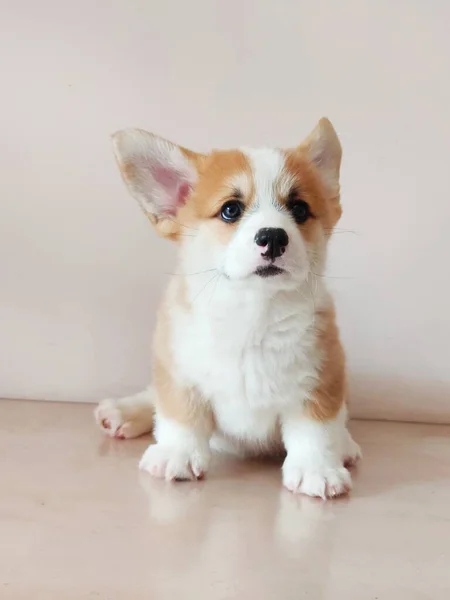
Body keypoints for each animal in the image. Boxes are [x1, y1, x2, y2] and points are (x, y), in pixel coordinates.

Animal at [96, 119, 362, 500]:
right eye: (231, 209)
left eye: (299, 209)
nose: (273, 237)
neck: (252, 314)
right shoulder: (179, 372)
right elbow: (180, 417)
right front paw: (176, 454)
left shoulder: (321, 381)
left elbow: (316, 430)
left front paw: (318, 469)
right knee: (152, 397)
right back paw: (122, 412)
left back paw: (346, 446)